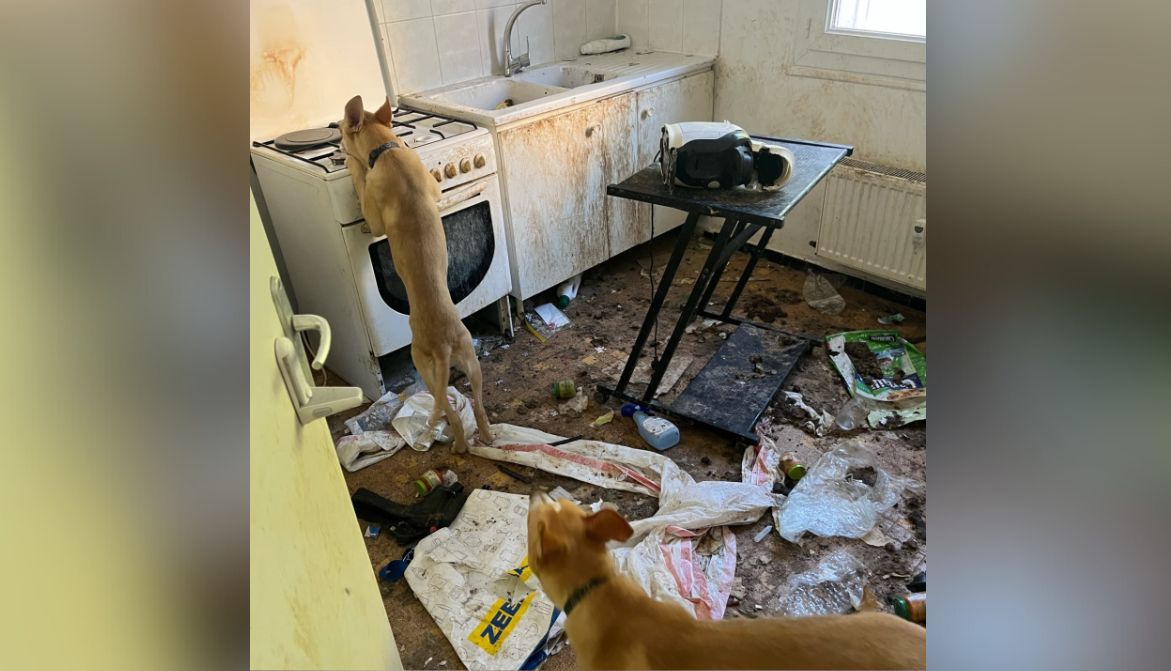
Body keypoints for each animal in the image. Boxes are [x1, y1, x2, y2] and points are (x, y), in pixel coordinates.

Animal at [340, 95, 492, 452]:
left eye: (339, 127)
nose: (337, 139)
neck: (387, 150)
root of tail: (444, 345)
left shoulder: (374, 220)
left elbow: (364, 192)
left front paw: (352, 165)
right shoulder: (434, 190)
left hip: (425, 367)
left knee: (449, 411)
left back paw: (459, 444)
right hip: (472, 362)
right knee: (478, 406)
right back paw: (488, 435)